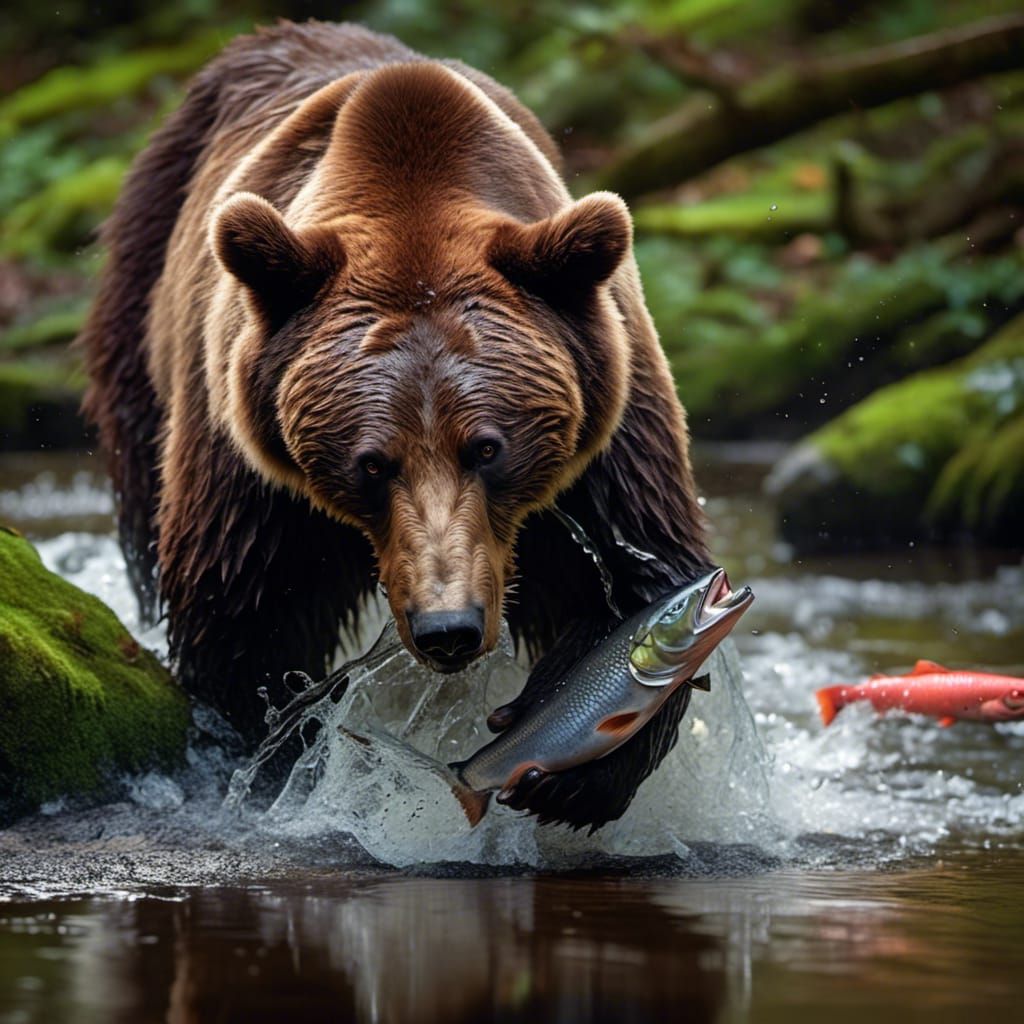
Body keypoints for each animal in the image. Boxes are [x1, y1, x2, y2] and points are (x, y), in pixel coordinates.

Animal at [78, 21, 711, 830]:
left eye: (488, 448)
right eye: (372, 462)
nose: (449, 630)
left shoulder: (605, 430)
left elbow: (637, 566)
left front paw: (574, 775)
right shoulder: (250, 468)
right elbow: (245, 615)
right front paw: (274, 757)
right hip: (145, 296)